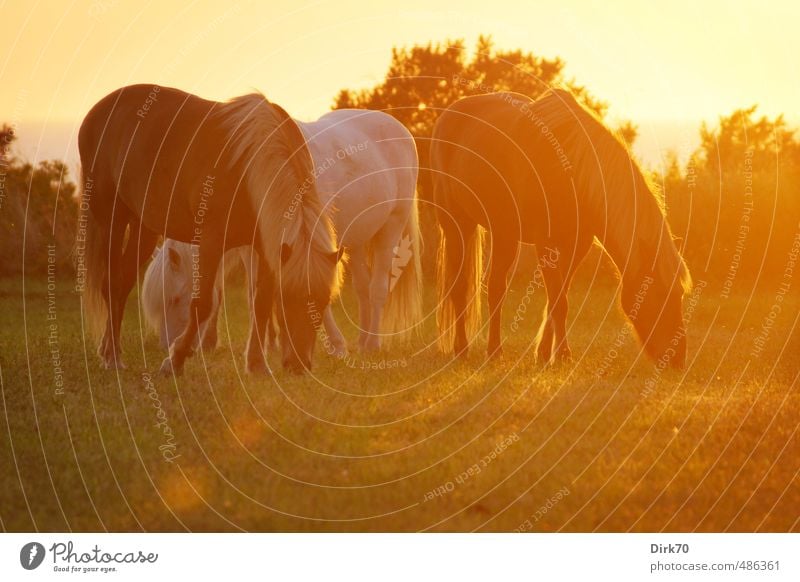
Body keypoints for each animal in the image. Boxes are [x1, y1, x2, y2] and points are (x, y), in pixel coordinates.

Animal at [80, 84, 340, 376]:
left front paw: (257, 364)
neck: (247, 165)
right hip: (111, 219)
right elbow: (202, 303)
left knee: (122, 283)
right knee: (110, 284)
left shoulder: (266, 248)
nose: (298, 365)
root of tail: (99, 110)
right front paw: (175, 360)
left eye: (324, 301)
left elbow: (260, 304)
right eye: (286, 300)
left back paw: (108, 349)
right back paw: (112, 356)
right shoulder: (210, 242)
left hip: (142, 227)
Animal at [141, 109, 422, 372]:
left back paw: (372, 345)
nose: (167, 346)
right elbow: (257, 294)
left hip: (392, 225)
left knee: (377, 288)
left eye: (175, 299)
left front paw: (334, 345)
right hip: (359, 239)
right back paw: (363, 341)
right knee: (363, 288)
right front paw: (267, 345)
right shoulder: (255, 248)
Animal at [432, 88, 692, 370]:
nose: (677, 358)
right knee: (468, 288)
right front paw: (562, 354)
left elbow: (559, 298)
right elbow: (558, 301)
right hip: (461, 225)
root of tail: (448, 115)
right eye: (659, 294)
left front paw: (546, 353)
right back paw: (472, 349)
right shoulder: (546, 245)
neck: (572, 171)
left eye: (679, 294)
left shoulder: (576, 247)